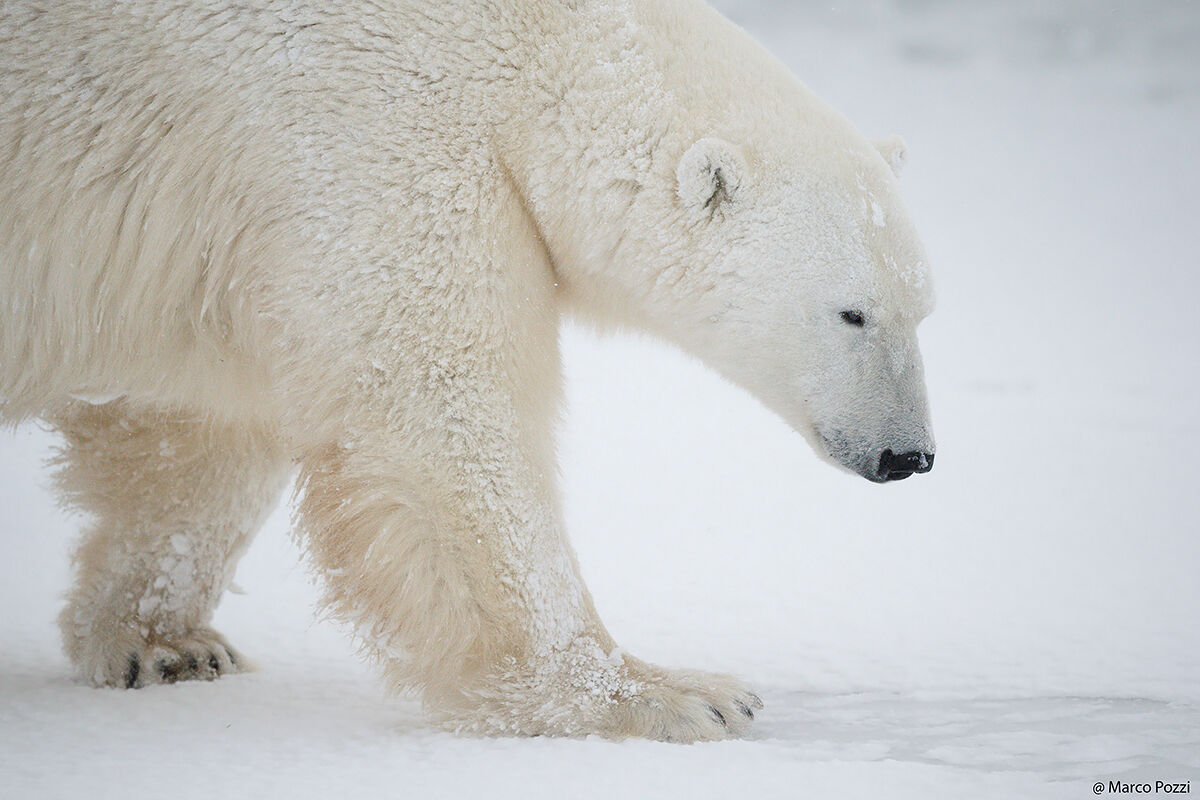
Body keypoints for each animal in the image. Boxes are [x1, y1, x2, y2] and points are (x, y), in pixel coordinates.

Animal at [0, 0, 935, 741]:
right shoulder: (375, 144)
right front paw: (671, 697)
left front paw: (161, 642)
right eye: (852, 313)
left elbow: (197, 425)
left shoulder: (231, 223)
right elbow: (443, 418)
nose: (909, 457)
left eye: (924, 308)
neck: (532, 51)